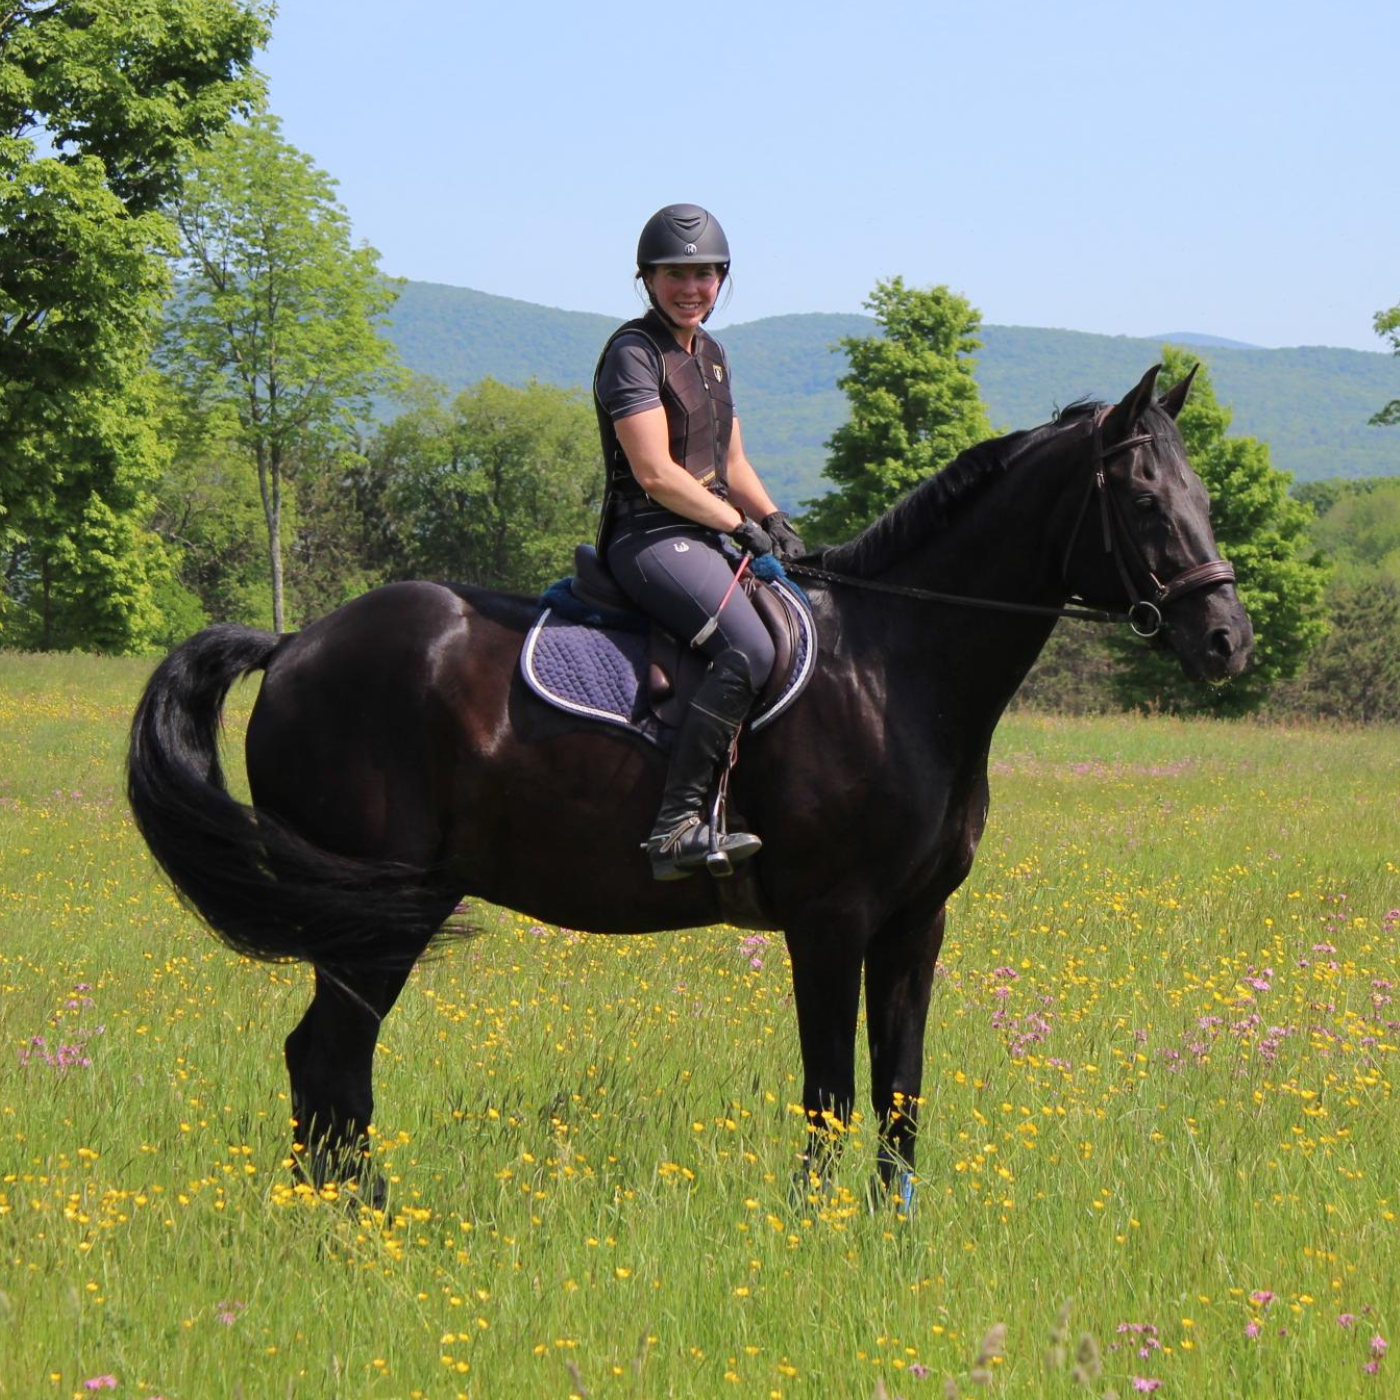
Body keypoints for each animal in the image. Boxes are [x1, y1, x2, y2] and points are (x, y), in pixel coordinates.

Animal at [127, 365, 1253, 1201]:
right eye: (1144, 500)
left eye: (1203, 498)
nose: (1226, 640)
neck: (895, 665)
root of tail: (296, 645)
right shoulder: (828, 919)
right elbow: (829, 1092)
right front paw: (814, 1237)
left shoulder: (915, 921)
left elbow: (900, 1095)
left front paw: (891, 1240)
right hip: (377, 917)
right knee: (330, 1062)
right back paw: (359, 1230)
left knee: (322, 1066)